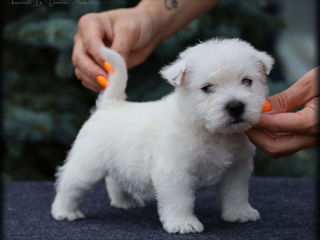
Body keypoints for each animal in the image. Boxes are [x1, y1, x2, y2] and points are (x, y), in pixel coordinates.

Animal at [51, 38, 274, 233]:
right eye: (207, 88)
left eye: (247, 81)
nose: (235, 106)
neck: (212, 132)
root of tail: (110, 105)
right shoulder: (174, 171)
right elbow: (180, 200)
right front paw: (183, 224)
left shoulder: (237, 168)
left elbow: (237, 193)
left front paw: (240, 213)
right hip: (87, 164)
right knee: (69, 184)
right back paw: (64, 211)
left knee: (115, 180)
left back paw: (125, 201)